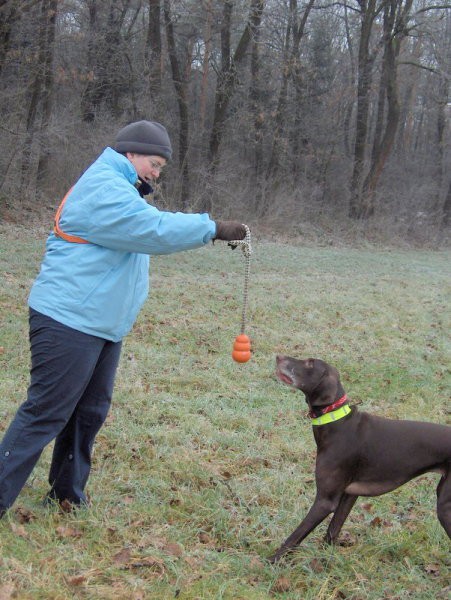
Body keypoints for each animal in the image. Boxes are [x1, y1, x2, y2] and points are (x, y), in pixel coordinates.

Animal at [270, 354, 451, 560]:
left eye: (310, 363)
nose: (278, 356)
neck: (337, 421)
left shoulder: (325, 501)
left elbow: (294, 538)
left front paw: (271, 562)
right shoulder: (349, 494)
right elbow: (332, 530)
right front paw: (326, 561)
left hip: (445, 507)